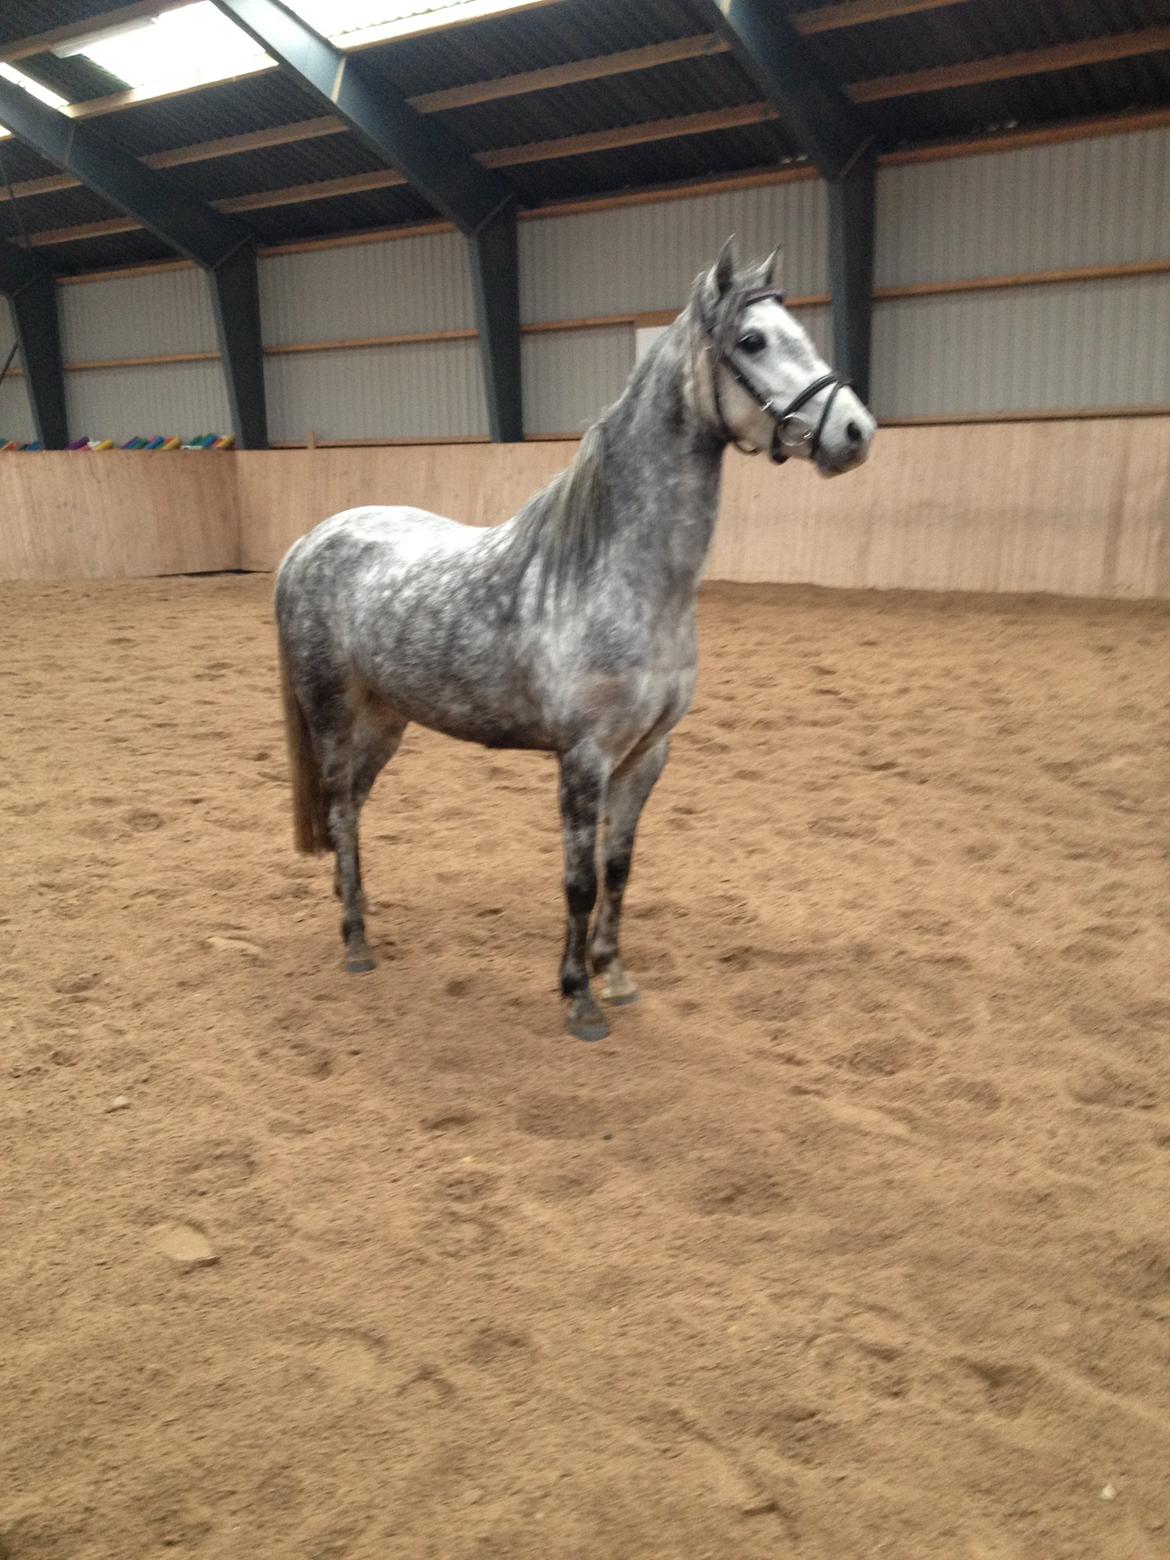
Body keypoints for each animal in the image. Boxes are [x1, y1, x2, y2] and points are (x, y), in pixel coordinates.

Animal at [274, 238, 876, 1041]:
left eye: (801, 331)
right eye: (753, 340)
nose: (857, 433)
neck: (616, 571)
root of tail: (310, 540)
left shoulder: (647, 755)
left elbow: (619, 869)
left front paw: (614, 976)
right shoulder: (583, 759)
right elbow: (579, 879)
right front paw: (579, 1000)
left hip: (386, 720)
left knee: (353, 812)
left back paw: (364, 925)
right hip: (334, 716)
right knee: (340, 809)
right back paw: (355, 947)